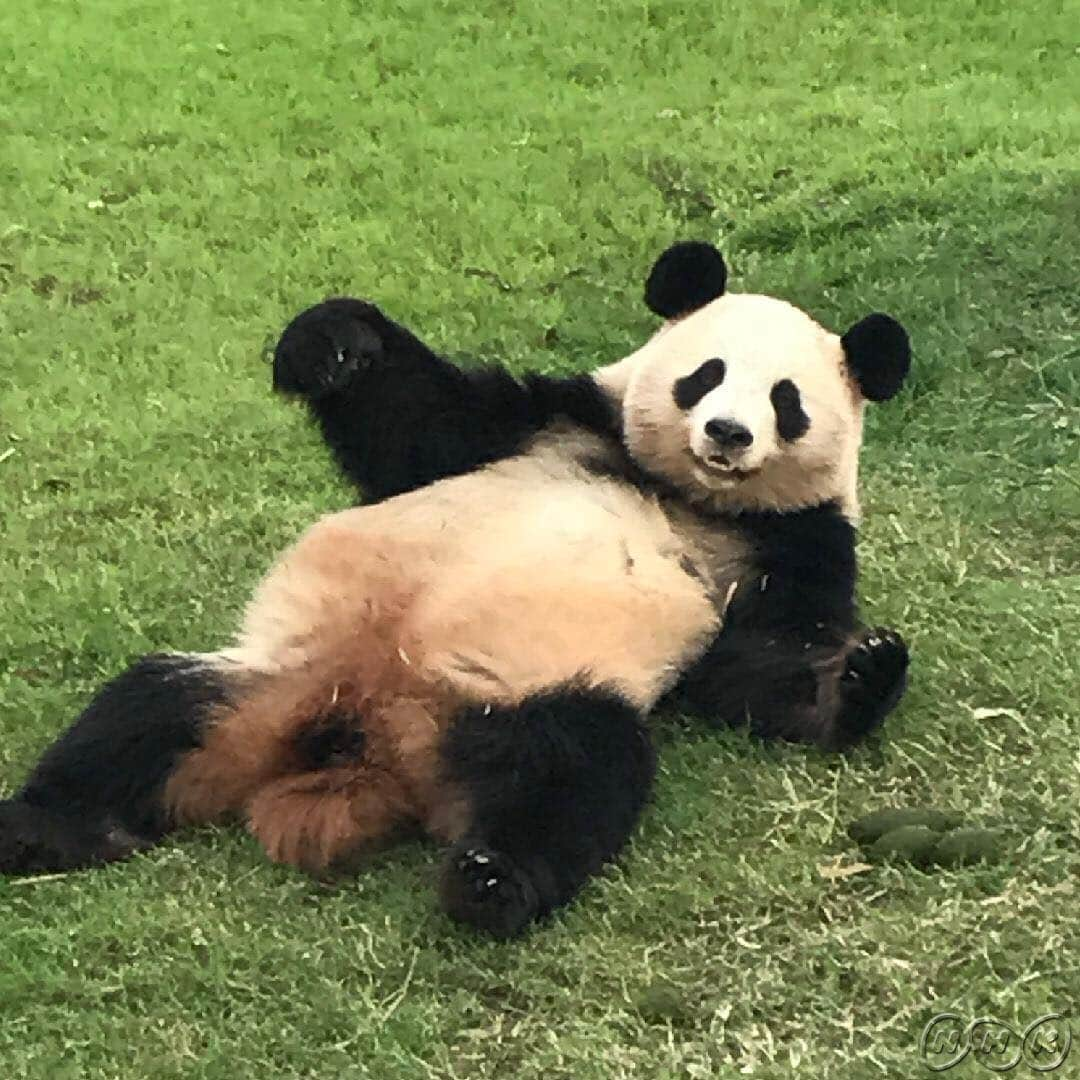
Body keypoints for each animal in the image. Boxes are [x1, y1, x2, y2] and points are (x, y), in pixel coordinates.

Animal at [0, 243, 911, 937]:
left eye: (786, 401)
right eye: (705, 374)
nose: (725, 433)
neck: (685, 492)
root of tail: (365, 731)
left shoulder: (790, 539)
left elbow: (765, 657)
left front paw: (864, 670)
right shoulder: (545, 424)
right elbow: (418, 419)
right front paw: (332, 340)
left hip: (516, 692)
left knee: (570, 770)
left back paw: (491, 880)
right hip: (270, 675)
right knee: (145, 714)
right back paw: (43, 827)